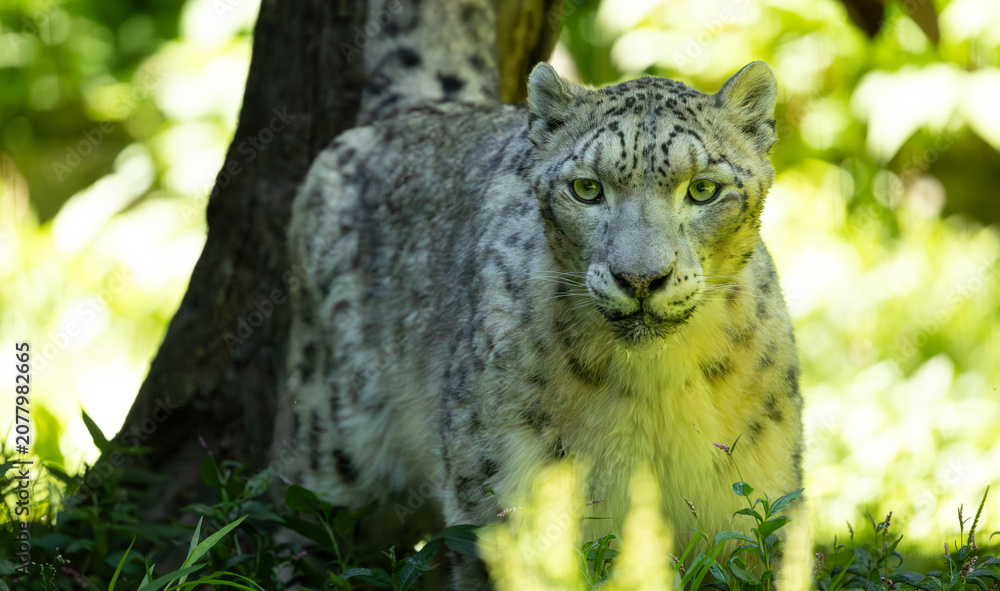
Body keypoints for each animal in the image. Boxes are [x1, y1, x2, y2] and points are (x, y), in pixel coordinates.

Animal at [272, 0, 803, 587]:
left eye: (704, 189)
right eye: (587, 188)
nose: (641, 278)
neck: (655, 387)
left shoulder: (754, 499)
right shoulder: (503, 492)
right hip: (332, 450)